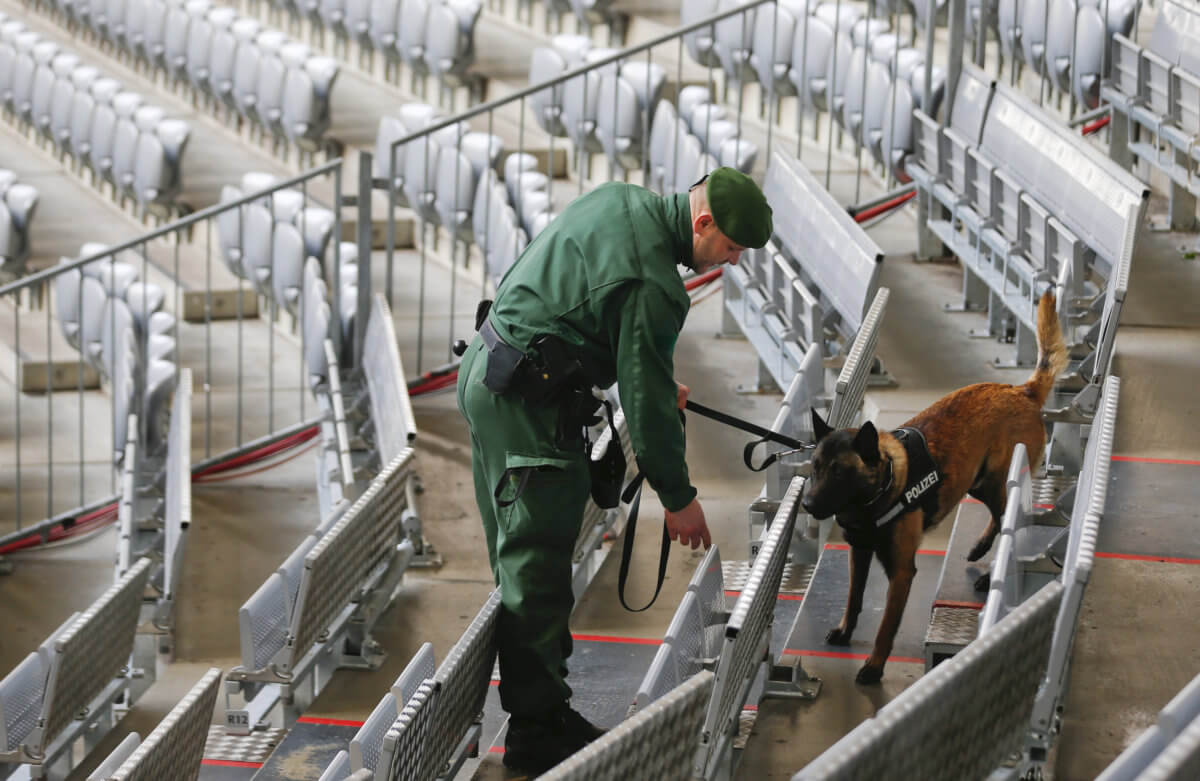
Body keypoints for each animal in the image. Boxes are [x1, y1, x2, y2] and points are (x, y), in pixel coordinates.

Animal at [796, 289, 1070, 686]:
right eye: (815, 469)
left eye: (840, 473)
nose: (808, 505)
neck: (881, 490)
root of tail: (1021, 391)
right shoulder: (858, 553)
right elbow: (854, 597)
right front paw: (846, 630)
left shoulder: (901, 573)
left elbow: (886, 626)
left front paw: (874, 666)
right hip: (979, 482)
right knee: (997, 517)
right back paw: (979, 549)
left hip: (999, 480)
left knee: (1010, 522)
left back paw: (988, 573)